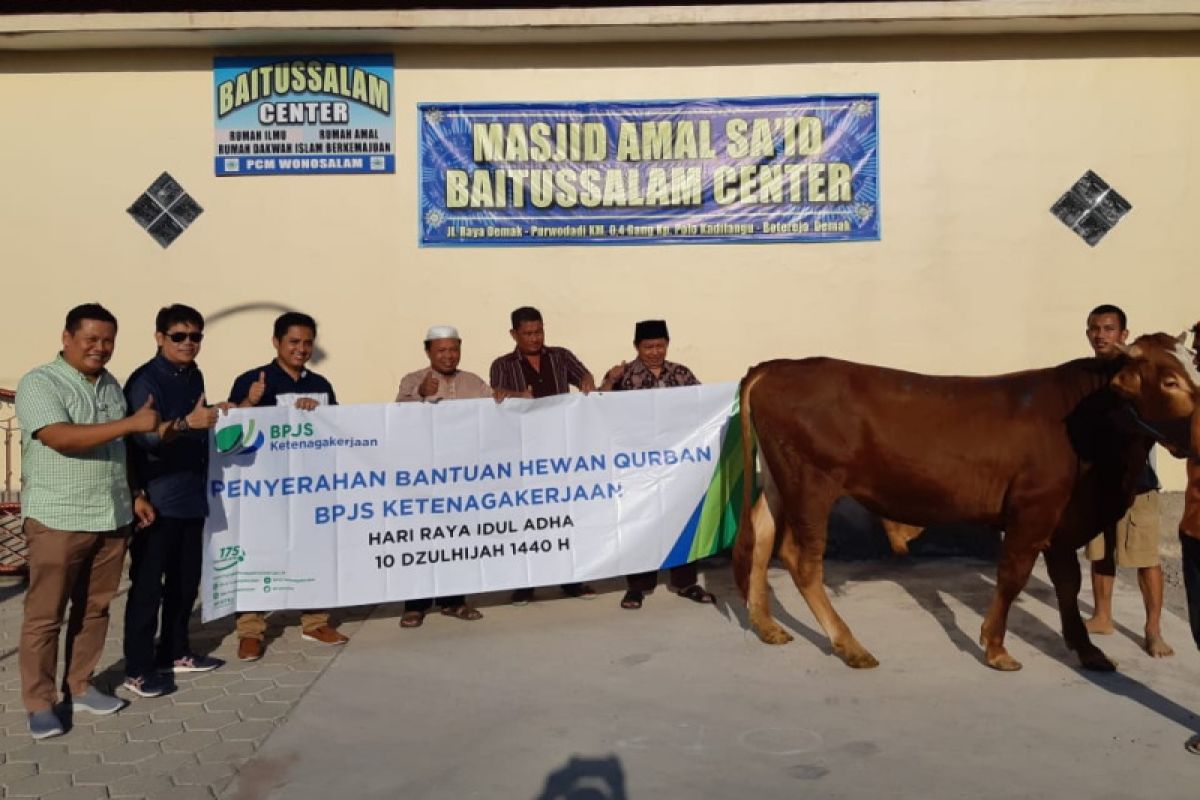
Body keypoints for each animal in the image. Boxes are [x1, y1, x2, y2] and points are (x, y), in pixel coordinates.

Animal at [729, 335, 1200, 671]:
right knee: (800, 558)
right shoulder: (1034, 510)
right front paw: (995, 647)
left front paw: (1087, 651)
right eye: (1170, 380)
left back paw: (767, 625)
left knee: (762, 535)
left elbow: (1068, 584)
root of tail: (780, 366)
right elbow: (1012, 576)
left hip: (781, 481)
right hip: (811, 483)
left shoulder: (1063, 521)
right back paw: (849, 645)